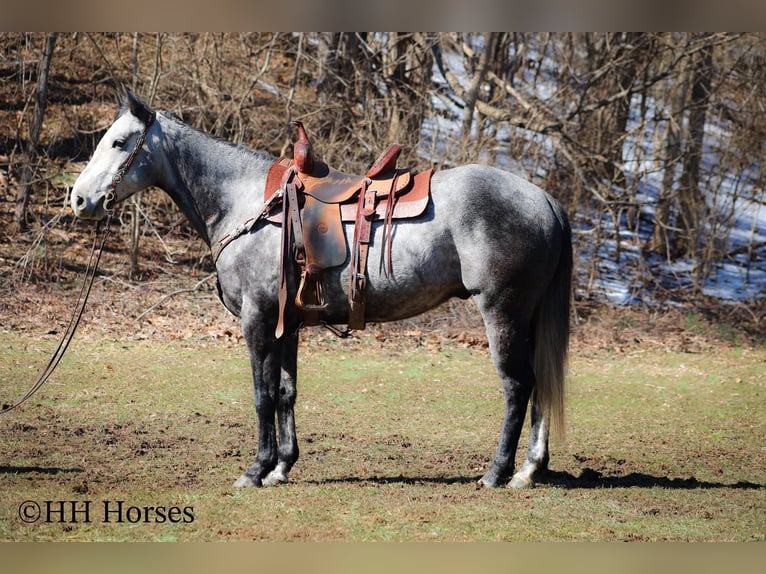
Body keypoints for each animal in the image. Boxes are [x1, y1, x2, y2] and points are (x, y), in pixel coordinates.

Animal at [72, 92, 572, 488]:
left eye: (119, 143)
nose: (77, 199)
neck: (249, 203)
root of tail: (544, 199)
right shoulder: (286, 324)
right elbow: (286, 392)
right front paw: (281, 467)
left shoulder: (257, 320)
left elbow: (262, 395)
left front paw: (256, 469)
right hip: (526, 317)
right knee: (538, 384)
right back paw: (528, 470)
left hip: (502, 312)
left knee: (517, 385)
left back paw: (497, 472)